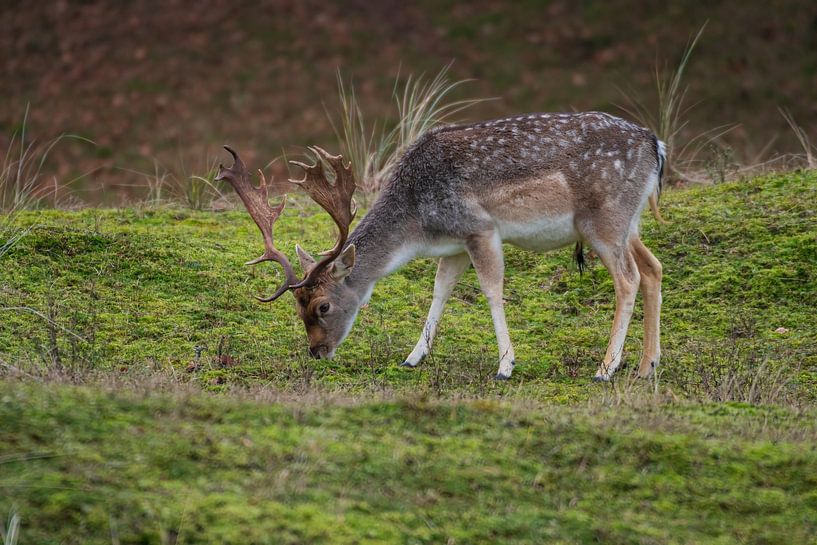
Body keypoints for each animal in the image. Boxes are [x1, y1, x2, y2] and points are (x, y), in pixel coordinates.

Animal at [217, 111, 664, 378]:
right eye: (297, 305)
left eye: (322, 306)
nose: (316, 351)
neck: (419, 227)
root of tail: (655, 144)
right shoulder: (454, 246)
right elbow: (439, 291)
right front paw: (413, 356)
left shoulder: (480, 229)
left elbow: (492, 291)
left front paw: (505, 365)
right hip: (630, 222)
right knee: (653, 268)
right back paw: (647, 366)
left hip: (604, 220)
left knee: (628, 278)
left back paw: (606, 368)